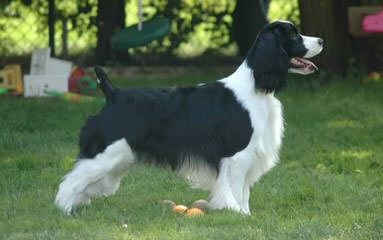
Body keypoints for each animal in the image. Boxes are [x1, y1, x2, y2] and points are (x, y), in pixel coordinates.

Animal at [54, 21, 324, 216]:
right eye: (294, 35)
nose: (321, 40)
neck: (256, 87)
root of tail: (113, 93)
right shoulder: (238, 155)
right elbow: (236, 189)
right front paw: (238, 214)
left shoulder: (251, 154)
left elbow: (245, 192)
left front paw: (246, 214)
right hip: (106, 153)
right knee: (70, 181)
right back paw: (65, 211)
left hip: (118, 157)